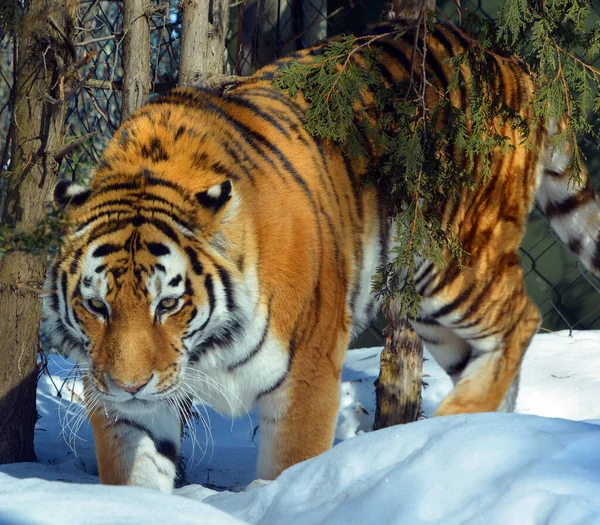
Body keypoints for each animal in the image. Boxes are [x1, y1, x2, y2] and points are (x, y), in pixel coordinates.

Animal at [44, 22, 600, 492]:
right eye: (97, 307)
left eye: (168, 305)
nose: (129, 385)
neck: (206, 349)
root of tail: (505, 56)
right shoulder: (123, 405)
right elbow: (134, 473)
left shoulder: (307, 372)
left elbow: (289, 465)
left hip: (453, 260)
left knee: (521, 318)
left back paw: (440, 429)